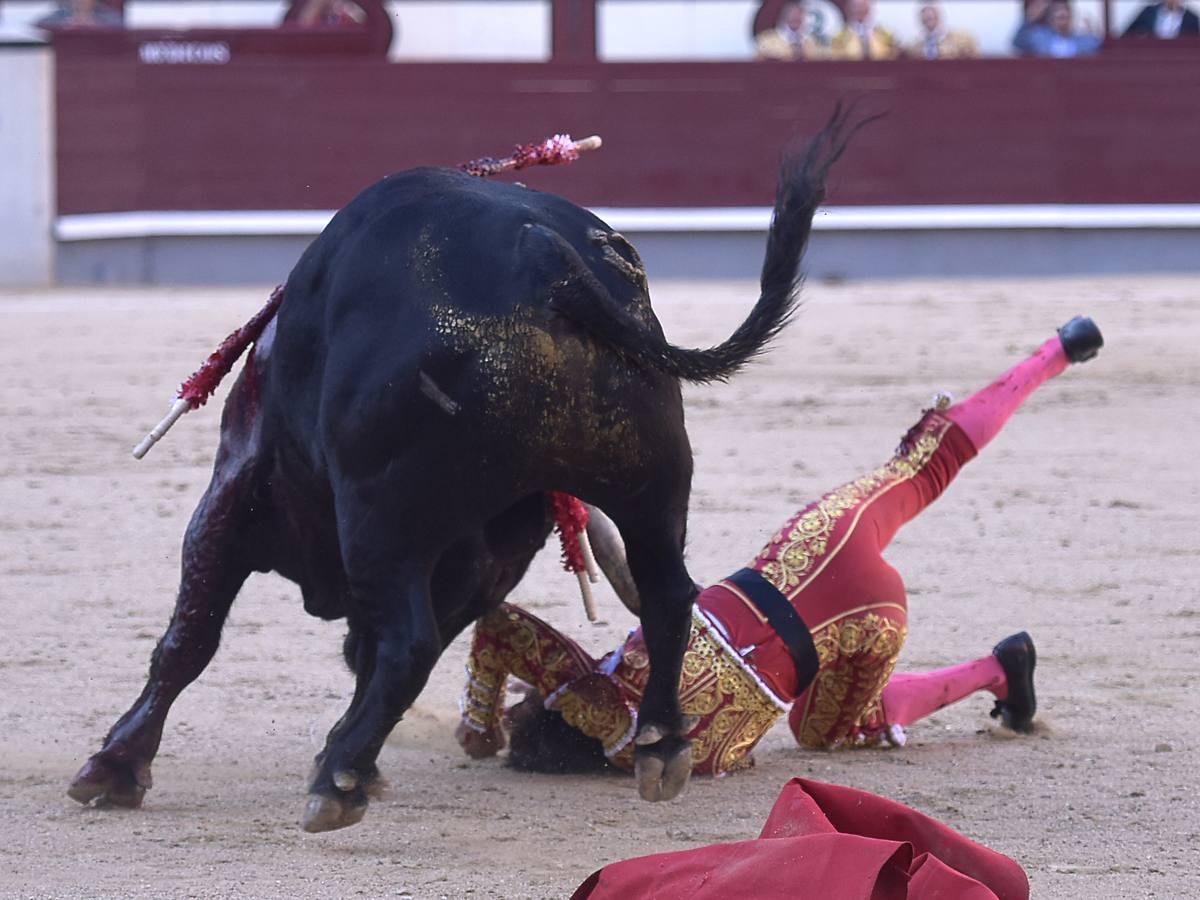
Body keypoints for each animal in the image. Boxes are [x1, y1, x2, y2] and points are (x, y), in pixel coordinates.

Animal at [68, 109, 864, 835]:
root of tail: (549, 265)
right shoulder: (484, 558)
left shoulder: (236, 491)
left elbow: (190, 638)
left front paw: (113, 768)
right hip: (647, 485)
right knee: (669, 596)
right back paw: (660, 750)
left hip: (380, 516)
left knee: (407, 645)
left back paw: (335, 784)